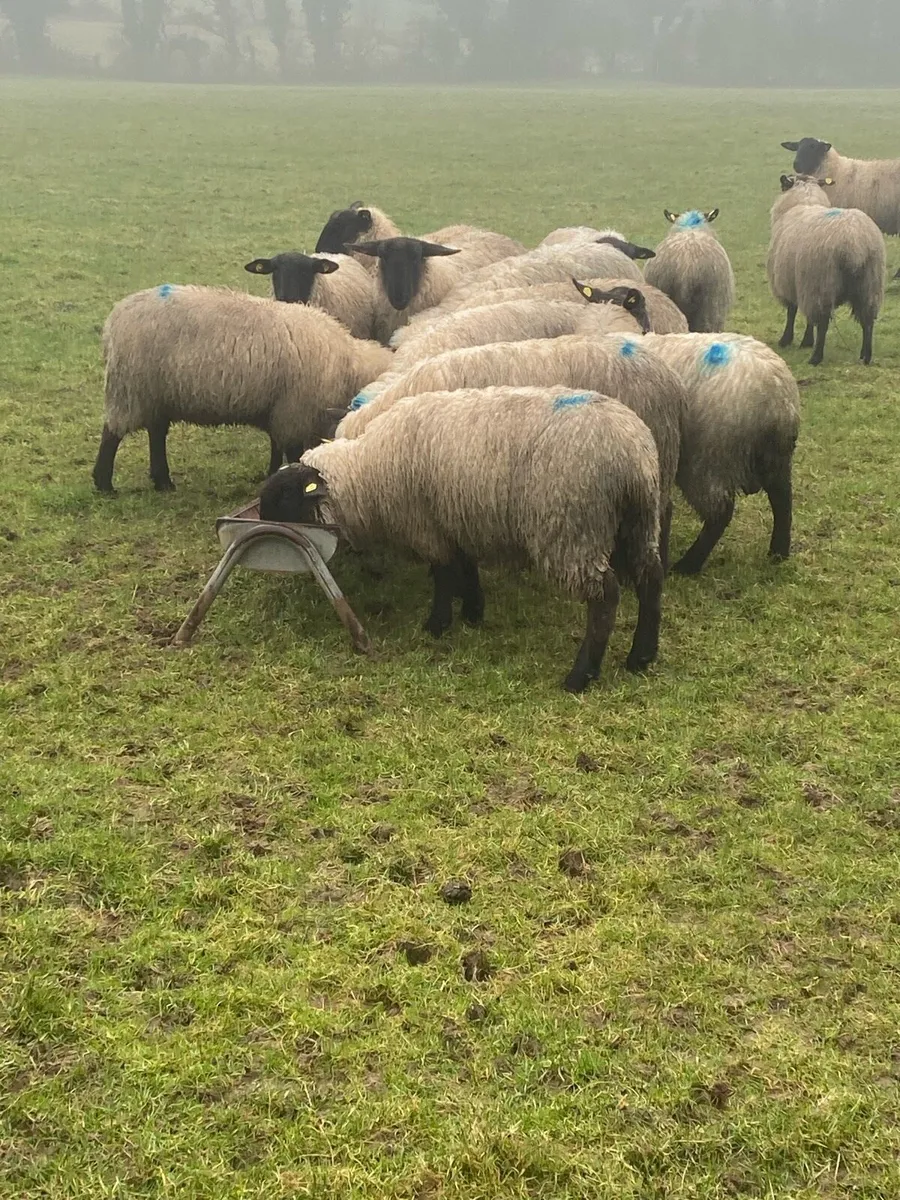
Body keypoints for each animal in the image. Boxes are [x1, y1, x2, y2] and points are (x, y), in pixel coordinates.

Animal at [92, 284, 392, 493]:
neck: (348, 365)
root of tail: (115, 319)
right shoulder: (295, 410)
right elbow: (292, 451)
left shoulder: (279, 408)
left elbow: (276, 446)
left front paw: (271, 474)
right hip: (131, 389)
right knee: (112, 434)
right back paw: (104, 483)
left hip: (157, 395)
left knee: (156, 434)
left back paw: (163, 481)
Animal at [260, 386, 664, 693]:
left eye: (284, 499)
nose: (266, 537)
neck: (366, 474)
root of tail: (633, 456)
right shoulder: (455, 518)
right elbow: (465, 567)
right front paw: (473, 611)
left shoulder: (426, 525)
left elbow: (443, 574)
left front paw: (437, 624)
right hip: (636, 523)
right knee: (651, 578)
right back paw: (641, 656)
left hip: (572, 527)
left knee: (605, 596)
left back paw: (581, 675)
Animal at [639, 332, 800, 574]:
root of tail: (776, 398)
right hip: (774, 458)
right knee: (782, 499)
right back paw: (778, 552)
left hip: (706, 458)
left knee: (720, 513)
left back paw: (688, 565)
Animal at [767, 174, 886, 366]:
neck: (804, 201)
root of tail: (854, 243)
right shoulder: (802, 282)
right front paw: (805, 342)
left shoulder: (791, 282)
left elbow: (792, 312)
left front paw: (789, 340)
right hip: (870, 283)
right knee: (868, 321)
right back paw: (865, 356)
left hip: (821, 283)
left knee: (822, 323)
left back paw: (816, 358)